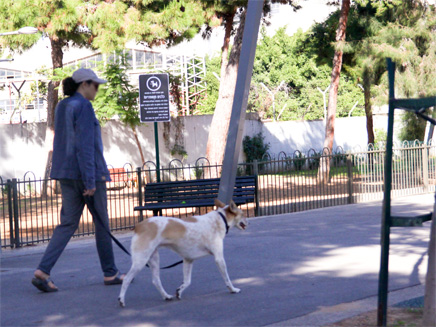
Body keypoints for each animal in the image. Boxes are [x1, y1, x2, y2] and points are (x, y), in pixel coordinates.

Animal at [118, 199, 249, 308]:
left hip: (154, 259)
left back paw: (166, 296)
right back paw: (121, 300)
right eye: (243, 214)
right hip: (141, 261)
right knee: (127, 279)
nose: (247, 223)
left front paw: (179, 291)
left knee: (156, 281)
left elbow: (187, 281)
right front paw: (232, 289)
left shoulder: (188, 259)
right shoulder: (219, 258)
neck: (220, 219)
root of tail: (139, 226)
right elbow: (227, 278)